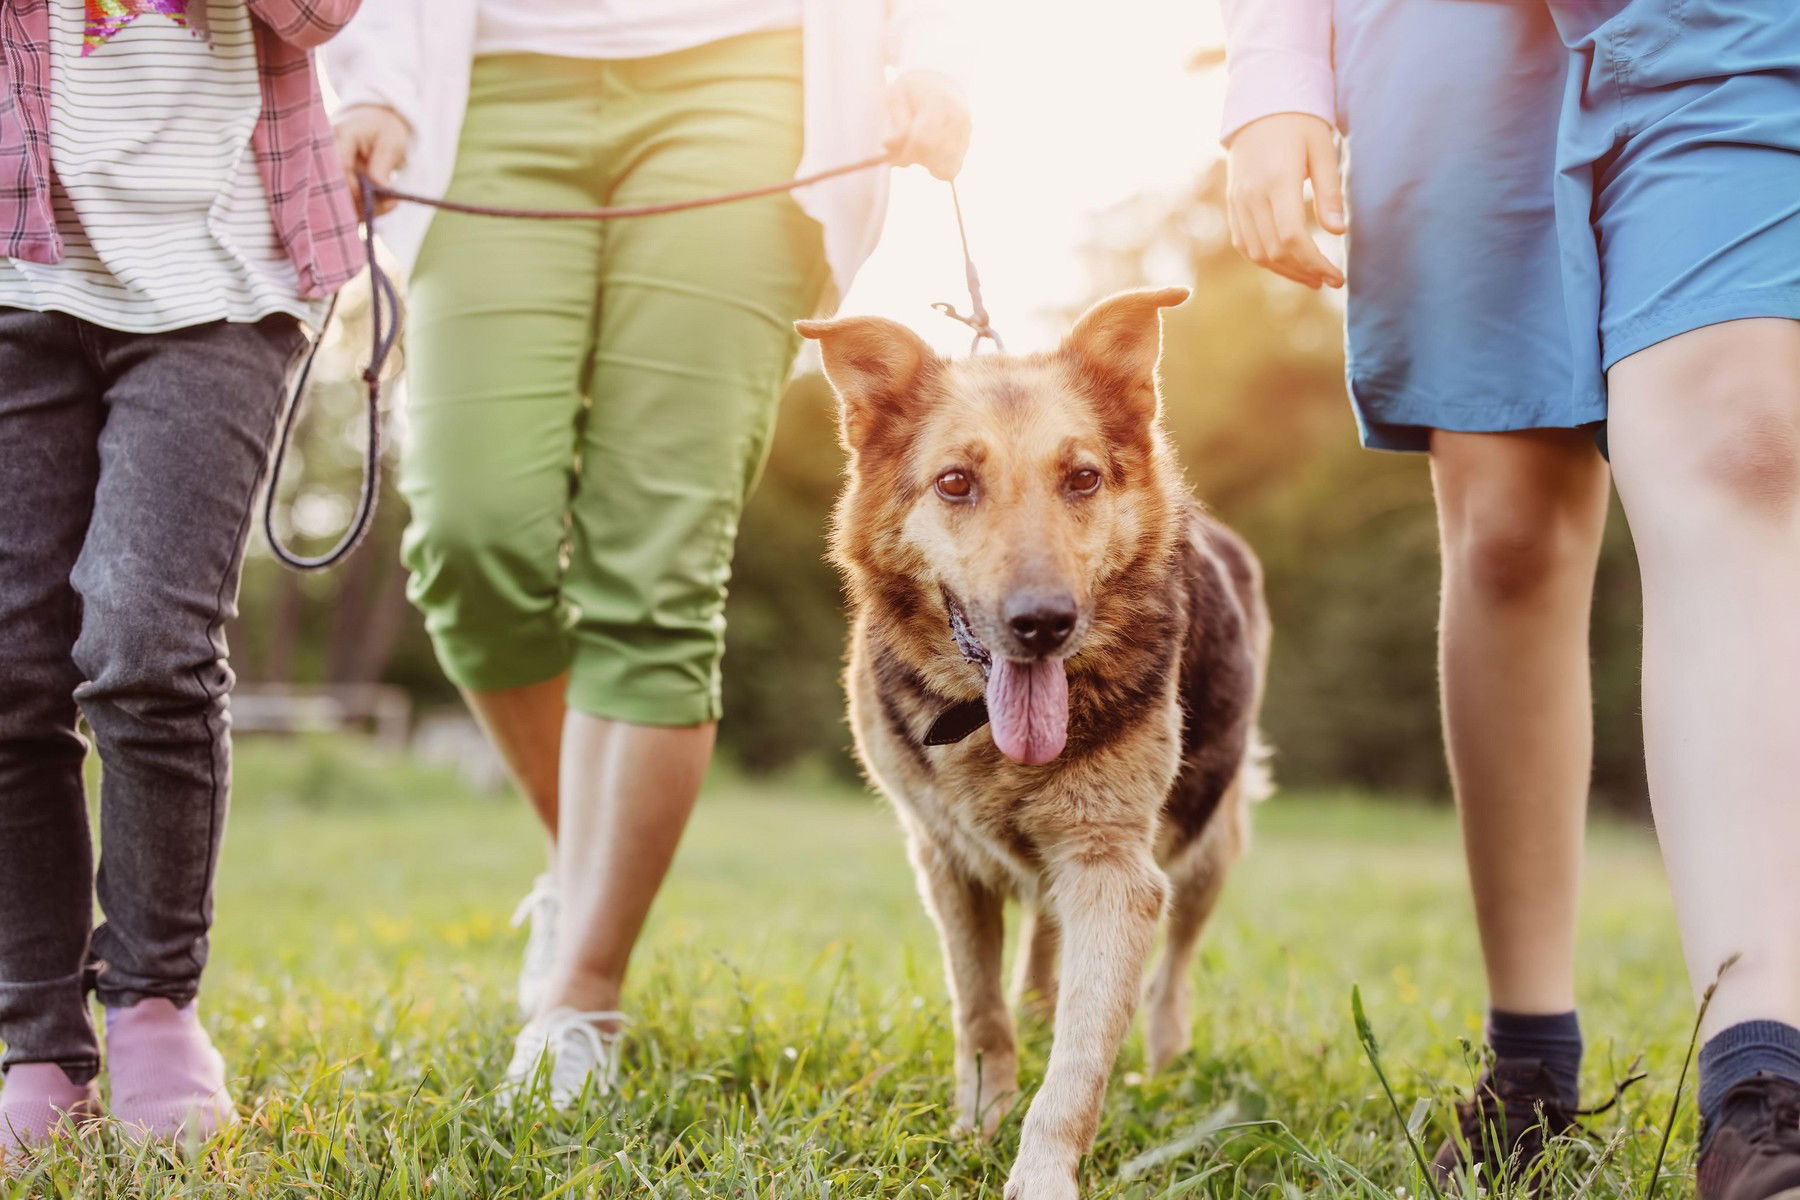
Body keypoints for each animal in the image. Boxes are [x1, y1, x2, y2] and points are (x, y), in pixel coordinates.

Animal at [795, 286, 1274, 1194]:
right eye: (955, 482)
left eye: (1082, 477)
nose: (1044, 623)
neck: (987, 730)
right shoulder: (947, 861)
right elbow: (981, 1012)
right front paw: (979, 1126)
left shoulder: (1116, 876)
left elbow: (1079, 1066)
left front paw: (1042, 1169)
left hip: (1208, 848)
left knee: (1169, 982)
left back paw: (1165, 1068)